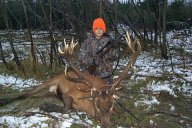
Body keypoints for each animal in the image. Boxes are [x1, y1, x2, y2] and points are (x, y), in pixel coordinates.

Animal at [0, 31, 141, 127]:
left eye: (111, 104)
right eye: (96, 104)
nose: (106, 124)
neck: (87, 106)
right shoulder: (69, 94)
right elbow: (67, 108)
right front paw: (47, 106)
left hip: (51, 91)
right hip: (50, 81)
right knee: (26, 94)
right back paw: (5, 101)